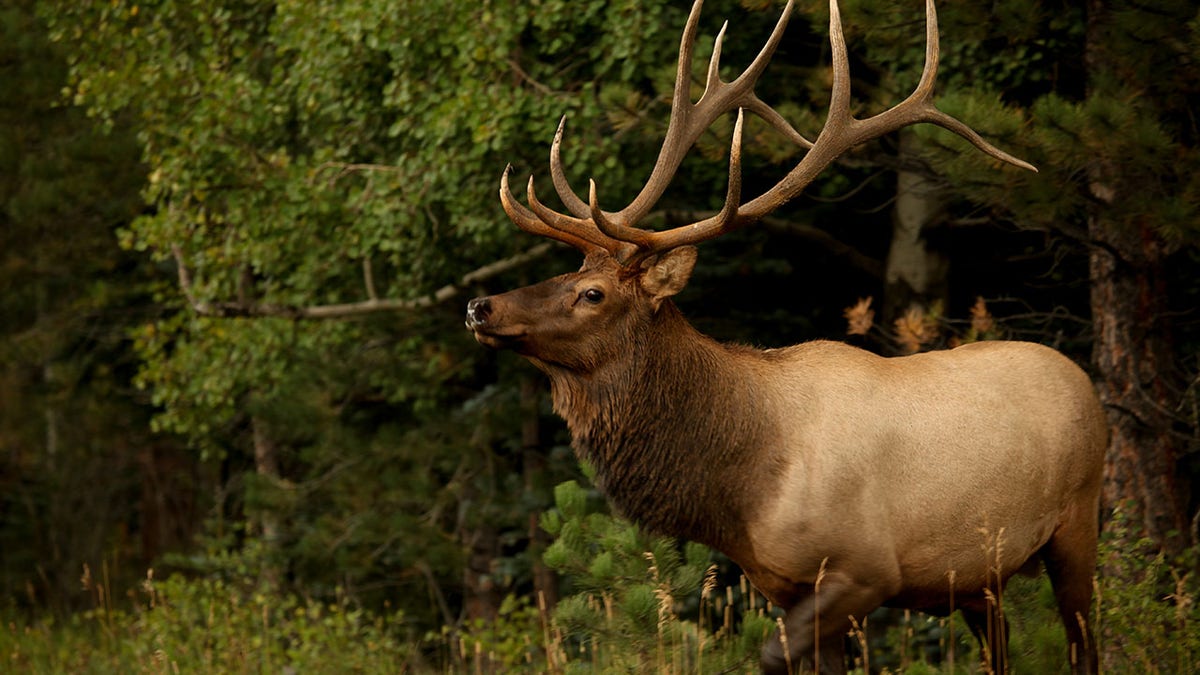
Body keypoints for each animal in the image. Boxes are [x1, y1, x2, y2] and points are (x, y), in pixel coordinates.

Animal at [463, 2, 1099, 667]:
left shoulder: (867, 570)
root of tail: (1082, 377)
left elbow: (768, 655)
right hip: (981, 578)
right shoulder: (781, 584)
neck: (739, 489)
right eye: (567, 273)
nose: (480, 305)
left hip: (1078, 520)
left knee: (1085, 642)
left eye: (592, 293)